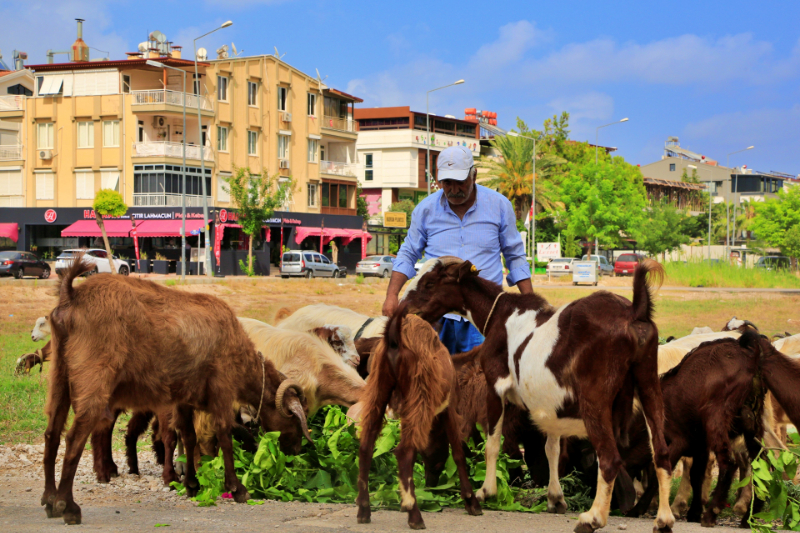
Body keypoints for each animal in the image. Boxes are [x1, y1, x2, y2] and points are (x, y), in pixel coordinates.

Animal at [42, 255, 312, 524]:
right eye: (295, 421)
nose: (296, 452)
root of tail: (72, 296)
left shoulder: (184, 399)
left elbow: (188, 436)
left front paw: (192, 484)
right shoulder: (221, 389)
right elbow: (224, 436)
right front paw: (237, 488)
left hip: (59, 374)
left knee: (52, 433)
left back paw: (49, 500)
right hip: (93, 379)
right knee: (74, 438)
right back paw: (68, 506)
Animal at [356, 304, 482, 528]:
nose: (431, 485)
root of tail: (395, 336)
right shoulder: (450, 406)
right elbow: (458, 451)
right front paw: (471, 501)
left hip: (378, 387)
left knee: (366, 446)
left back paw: (364, 510)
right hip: (419, 392)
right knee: (404, 451)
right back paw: (414, 514)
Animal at [400, 256, 676, 528]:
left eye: (430, 283)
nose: (403, 308)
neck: (500, 315)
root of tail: (634, 312)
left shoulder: (495, 385)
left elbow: (493, 442)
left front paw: (486, 492)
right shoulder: (549, 401)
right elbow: (551, 448)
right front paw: (555, 498)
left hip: (595, 398)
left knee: (609, 459)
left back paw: (593, 518)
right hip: (648, 383)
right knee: (662, 452)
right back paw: (664, 519)